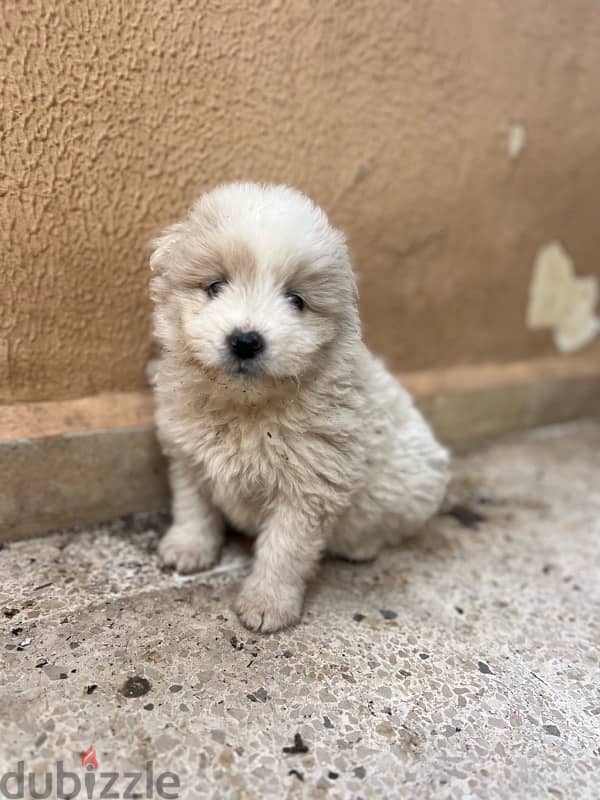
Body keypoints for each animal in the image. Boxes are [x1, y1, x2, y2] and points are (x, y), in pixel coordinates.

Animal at [150, 183, 450, 632]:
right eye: (215, 286)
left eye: (296, 300)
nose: (245, 341)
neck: (247, 409)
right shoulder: (188, 455)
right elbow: (194, 507)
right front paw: (188, 548)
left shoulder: (308, 488)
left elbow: (284, 551)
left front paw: (267, 604)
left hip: (413, 481)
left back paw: (361, 545)